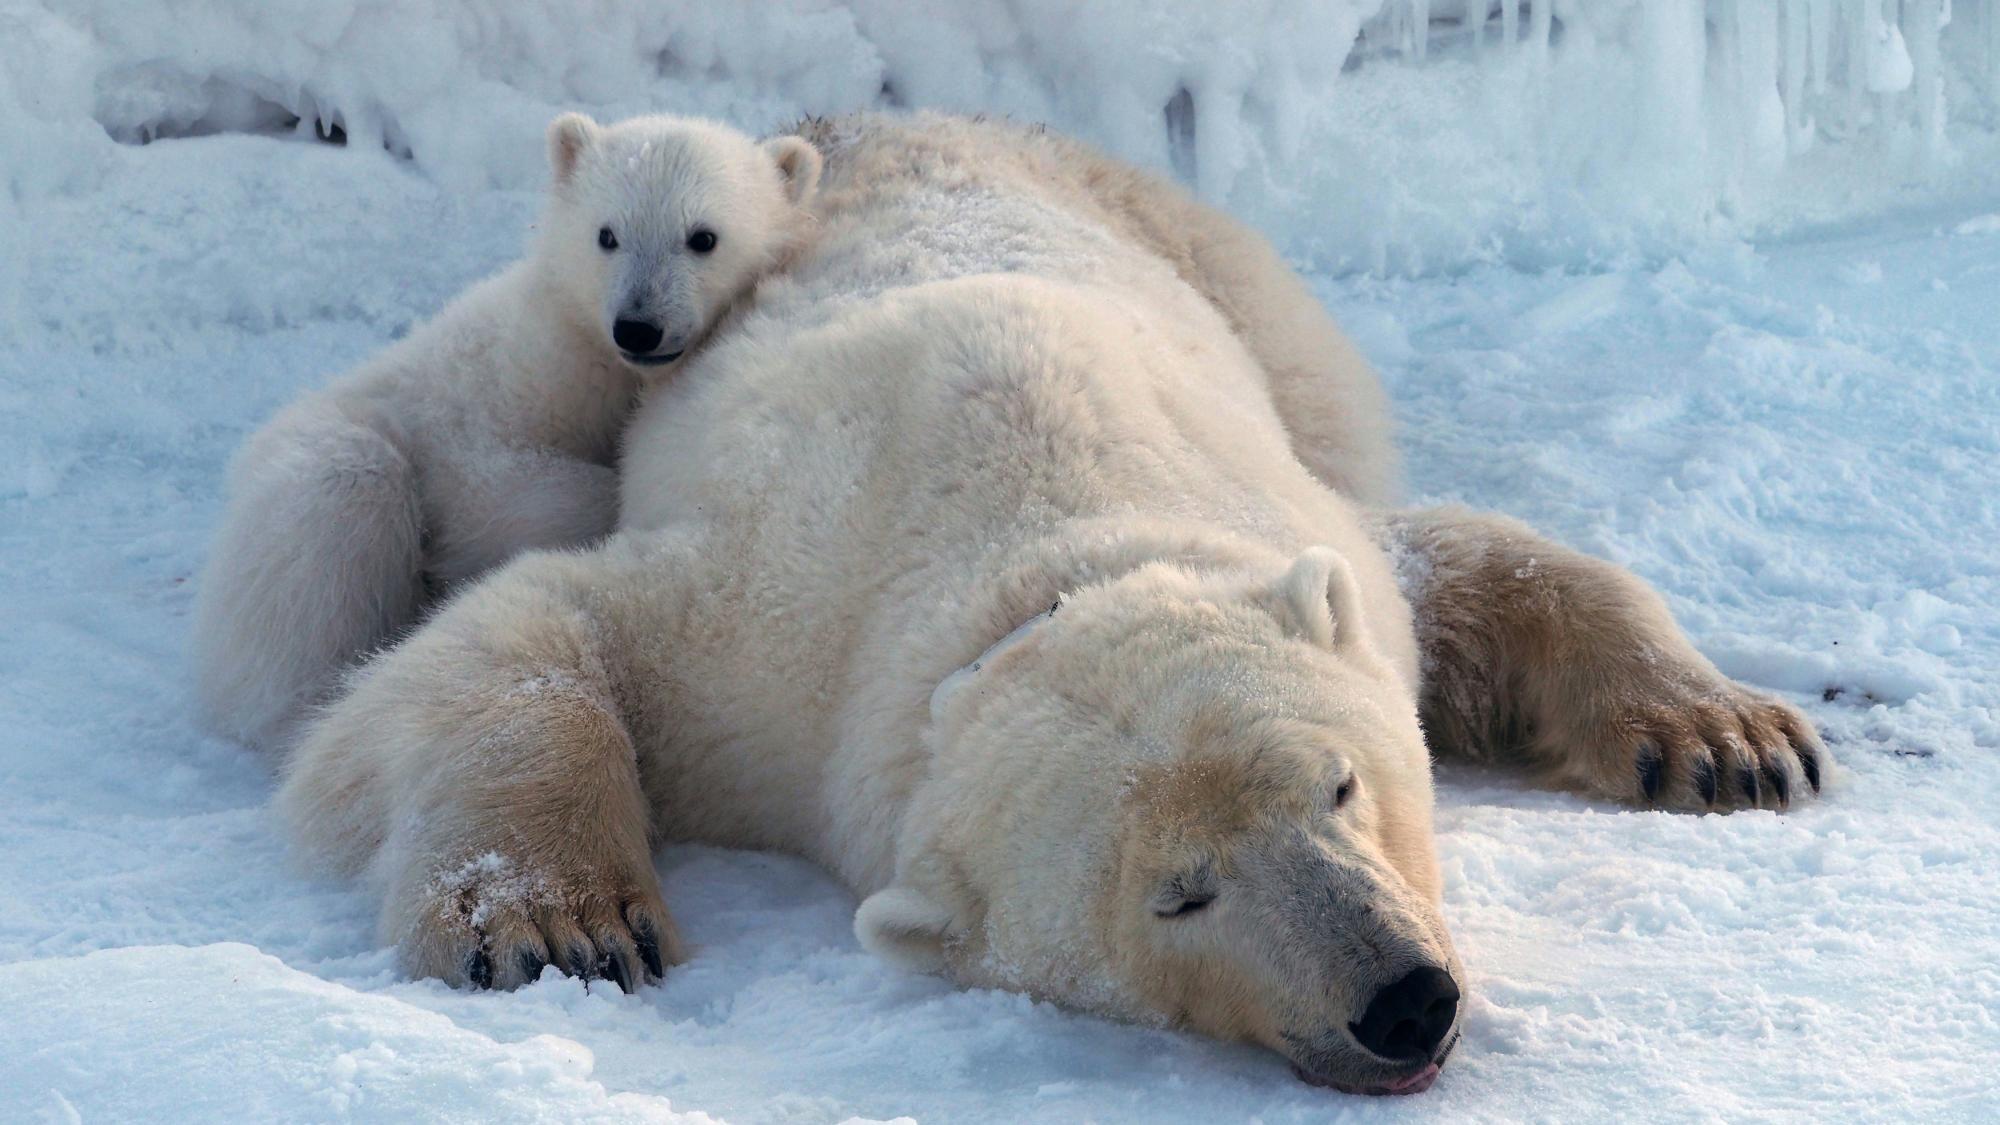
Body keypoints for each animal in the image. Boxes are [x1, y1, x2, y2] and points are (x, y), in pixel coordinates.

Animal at [191, 112, 823, 751]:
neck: (590, 355)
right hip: (322, 457)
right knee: (335, 515)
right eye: (607, 234)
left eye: (703, 237)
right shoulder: (497, 394)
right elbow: (495, 488)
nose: (638, 327)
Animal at [275, 113, 1826, 1096]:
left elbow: (1460, 565)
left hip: (1224, 271)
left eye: (1338, 785)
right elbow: (527, 634)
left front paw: (1727, 741)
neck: (1038, 541)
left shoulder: (1281, 512)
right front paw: (560, 925)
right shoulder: (773, 646)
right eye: (1178, 895)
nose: (1403, 1002)